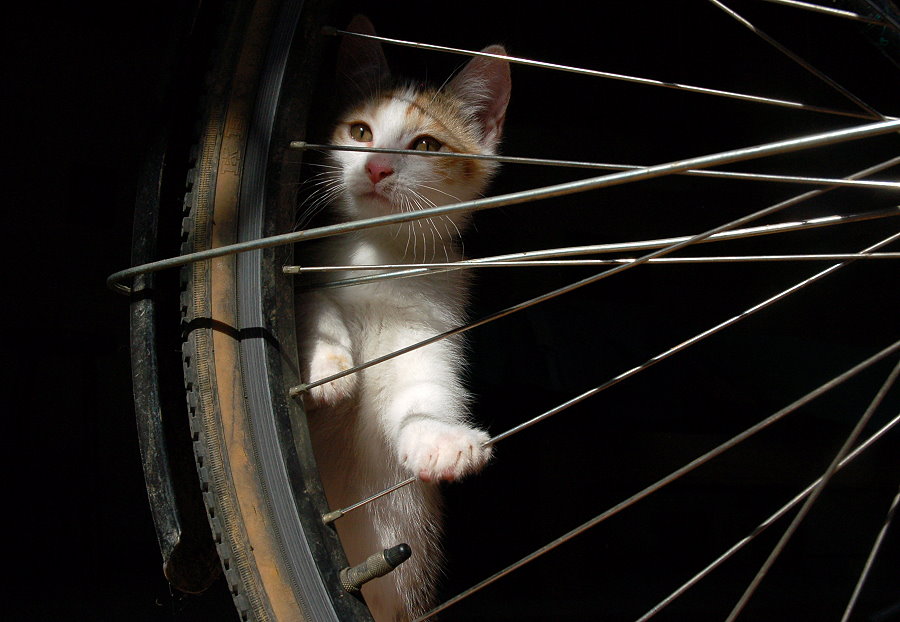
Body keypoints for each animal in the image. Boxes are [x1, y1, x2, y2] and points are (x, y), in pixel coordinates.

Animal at [298, 15, 510, 622]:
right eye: (361, 131)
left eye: (426, 145)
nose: (376, 166)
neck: (382, 257)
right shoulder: (305, 267)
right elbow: (312, 304)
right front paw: (328, 364)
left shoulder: (429, 333)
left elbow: (420, 396)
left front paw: (442, 439)